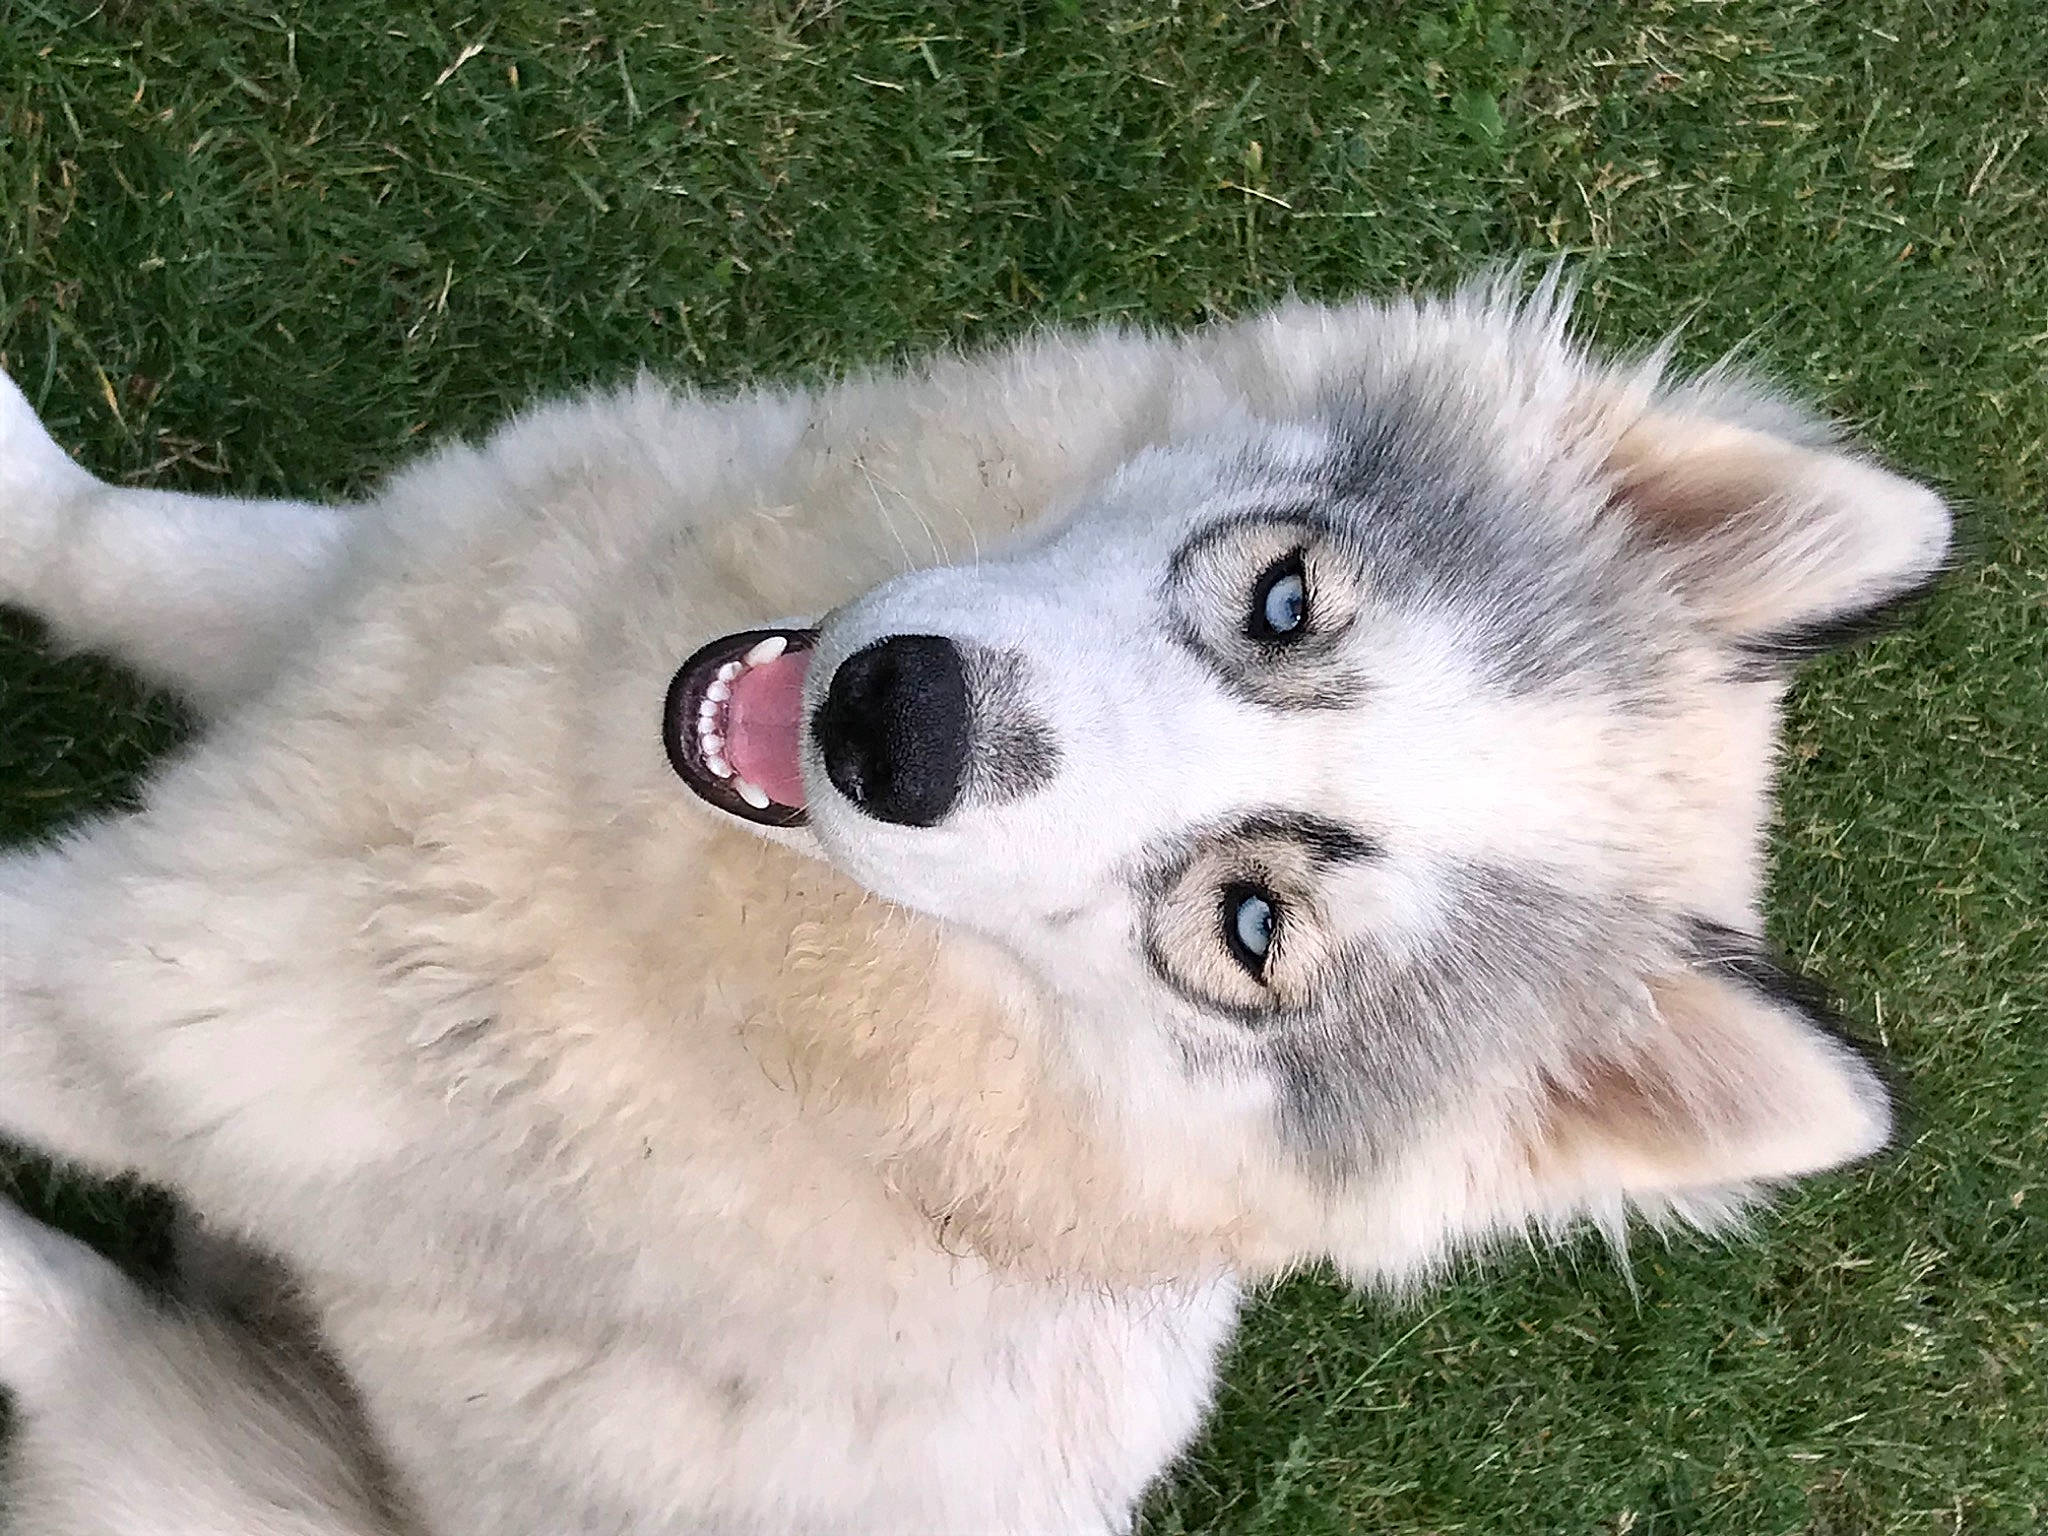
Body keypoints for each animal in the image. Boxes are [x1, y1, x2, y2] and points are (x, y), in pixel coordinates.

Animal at [0, 275, 1949, 1534]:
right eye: (1286, 599)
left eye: (1248, 932)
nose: (896, 722)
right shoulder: (370, 593)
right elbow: (104, 542)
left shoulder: (155, 1023)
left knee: (79, 1328)